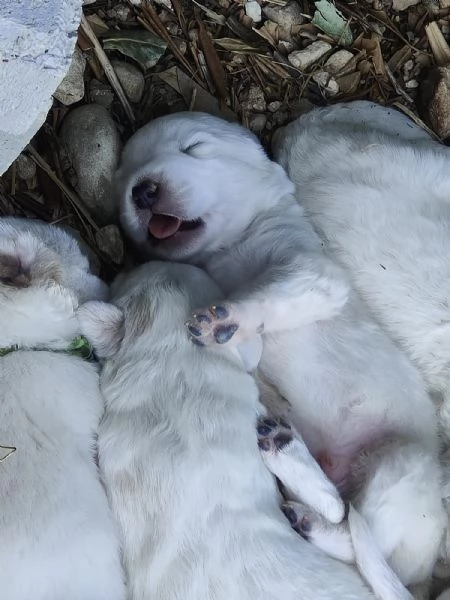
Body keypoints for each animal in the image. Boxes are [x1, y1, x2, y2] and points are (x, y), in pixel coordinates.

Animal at [114, 113, 444, 596]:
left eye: (195, 147)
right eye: (124, 176)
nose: (142, 190)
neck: (233, 246)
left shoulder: (313, 272)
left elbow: (269, 295)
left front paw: (223, 320)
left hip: (403, 465)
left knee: (356, 530)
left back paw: (302, 493)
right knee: (345, 515)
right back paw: (285, 452)